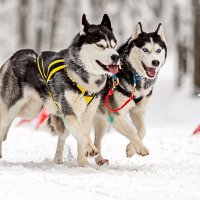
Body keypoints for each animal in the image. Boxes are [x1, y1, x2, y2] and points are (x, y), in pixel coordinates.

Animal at [0, 14, 119, 166]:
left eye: (114, 45)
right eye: (100, 45)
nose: (116, 56)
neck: (82, 76)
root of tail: (15, 56)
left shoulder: (86, 115)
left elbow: (82, 137)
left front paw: (84, 164)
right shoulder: (70, 112)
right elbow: (84, 134)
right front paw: (91, 149)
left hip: (31, 110)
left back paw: (58, 160)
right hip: (12, 109)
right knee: (3, 124)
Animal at [94, 22, 167, 166]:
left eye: (158, 50)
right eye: (145, 50)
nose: (155, 62)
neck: (134, 75)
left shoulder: (137, 112)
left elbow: (143, 130)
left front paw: (131, 149)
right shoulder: (116, 115)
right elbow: (132, 130)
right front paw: (141, 148)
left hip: (102, 122)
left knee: (96, 139)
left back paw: (98, 158)